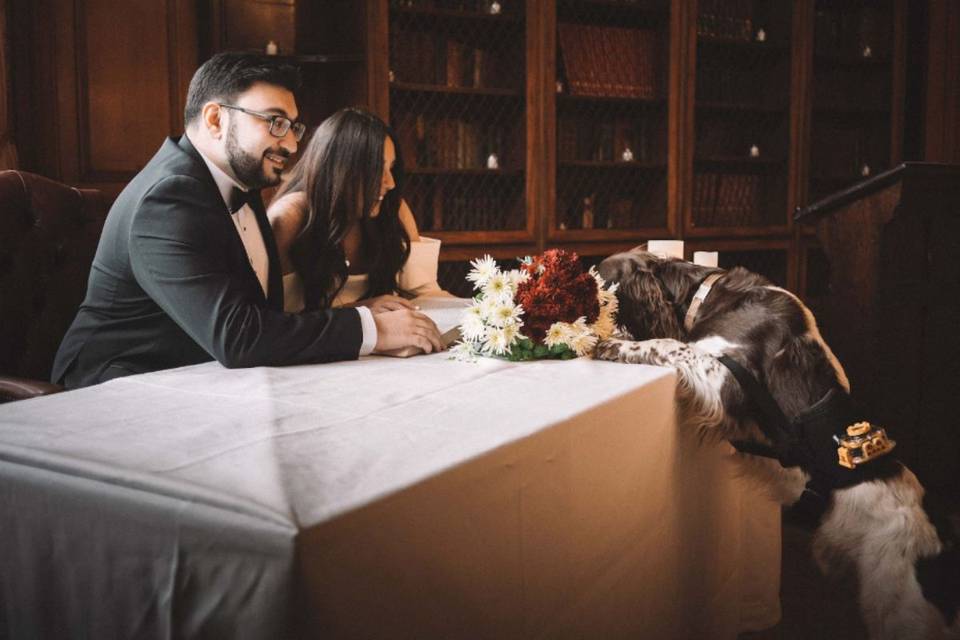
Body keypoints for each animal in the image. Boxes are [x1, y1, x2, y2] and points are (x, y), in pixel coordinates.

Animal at [596, 248, 956, 640]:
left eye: (596, 280)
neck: (709, 294)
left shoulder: (725, 381)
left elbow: (666, 344)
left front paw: (609, 344)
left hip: (899, 612)